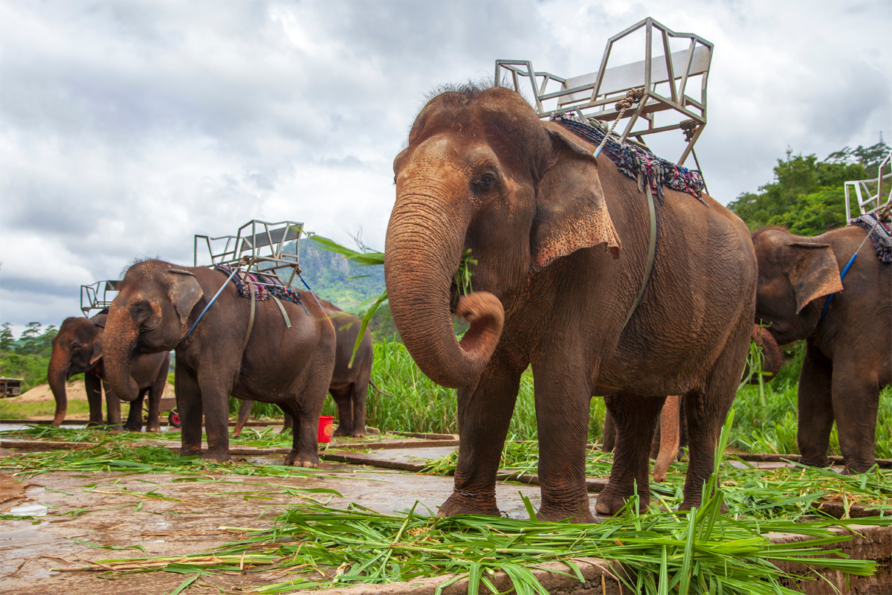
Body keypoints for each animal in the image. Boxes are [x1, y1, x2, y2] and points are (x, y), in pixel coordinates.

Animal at [102, 260, 338, 466]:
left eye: (140, 308)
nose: (136, 382)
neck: (183, 270)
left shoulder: (222, 330)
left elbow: (213, 382)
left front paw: (214, 461)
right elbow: (185, 390)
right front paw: (187, 457)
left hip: (321, 354)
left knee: (308, 407)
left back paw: (304, 463)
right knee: (293, 407)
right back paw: (291, 460)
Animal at [233, 300, 394, 440]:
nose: (235, 436)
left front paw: (290, 433)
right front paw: (286, 433)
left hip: (366, 357)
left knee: (358, 392)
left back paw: (357, 435)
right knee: (341, 396)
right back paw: (341, 433)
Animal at [386, 85, 756, 520]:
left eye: (485, 181)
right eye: (395, 174)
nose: (470, 302)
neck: (550, 140)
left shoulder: (604, 262)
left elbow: (562, 371)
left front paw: (560, 525)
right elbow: (487, 380)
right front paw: (464, 516)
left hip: (740, 315)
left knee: (707, 409)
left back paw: (698, 515)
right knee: (635, 405)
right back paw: (622, 510)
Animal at [752, 226, 892, 472]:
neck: (814, 242)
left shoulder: (864, 308)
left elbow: (851, 384)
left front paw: (858, 474)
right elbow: (813, 385)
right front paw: (810, 467)